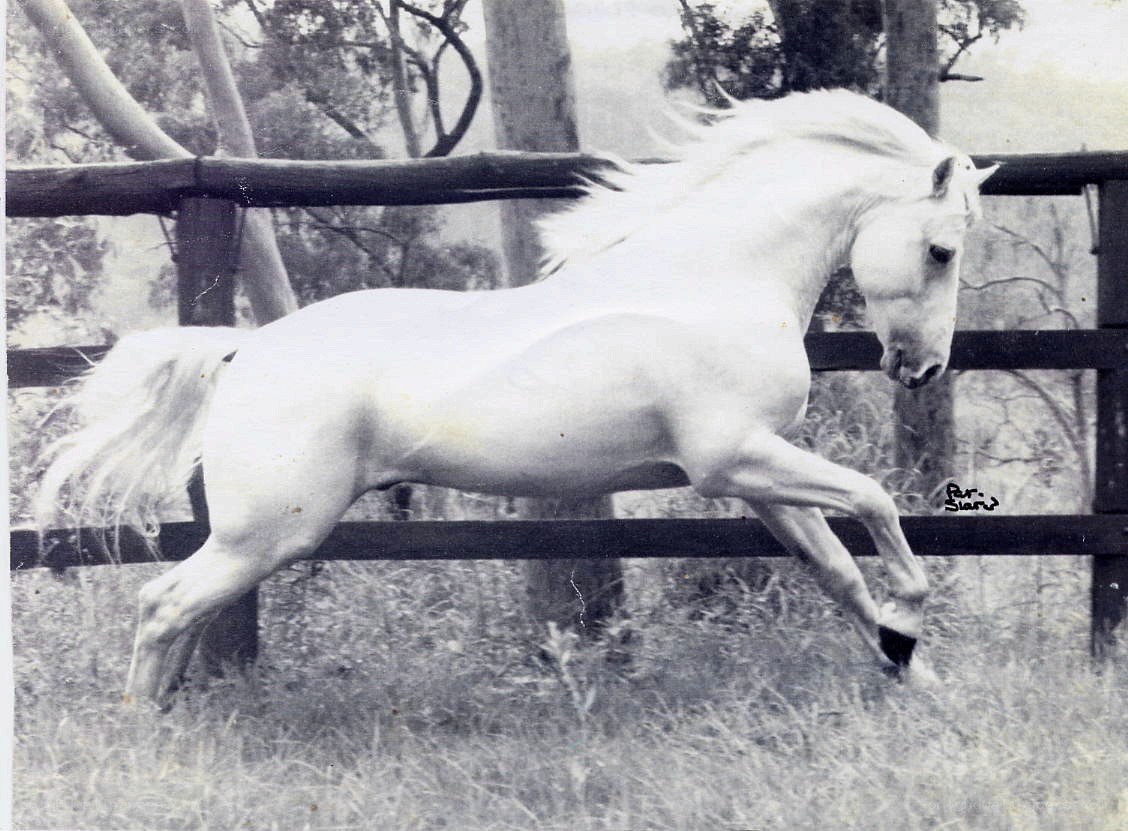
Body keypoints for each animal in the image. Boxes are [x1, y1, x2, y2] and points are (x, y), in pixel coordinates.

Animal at [36, 90, 997, 705]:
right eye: (943, 250)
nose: (921, 367)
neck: (713, 278)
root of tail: (245, 349)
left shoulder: (756, 475)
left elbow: (837, 570)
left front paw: (913, 674)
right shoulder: (734, 457)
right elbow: (875, 503)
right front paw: (908, 629)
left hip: (259, 536)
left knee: (177, 613)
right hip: (269, 531)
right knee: (163, 605)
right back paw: (145, 735)